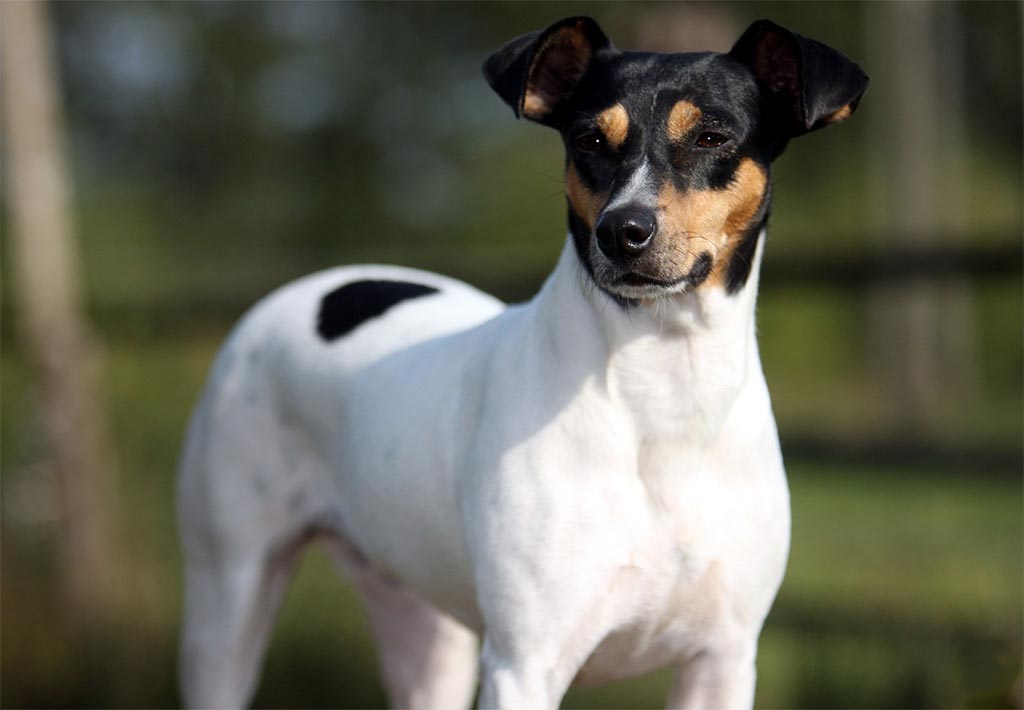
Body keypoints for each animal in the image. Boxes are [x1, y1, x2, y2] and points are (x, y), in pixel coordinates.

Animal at [178, 16, 864, 708]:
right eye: (590, 139)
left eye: (711, 137)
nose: (622, 231)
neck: (665, 394)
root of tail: (304, 289)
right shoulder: (524, 664)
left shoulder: (722, 660)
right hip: (228, 601)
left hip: (426, 632)